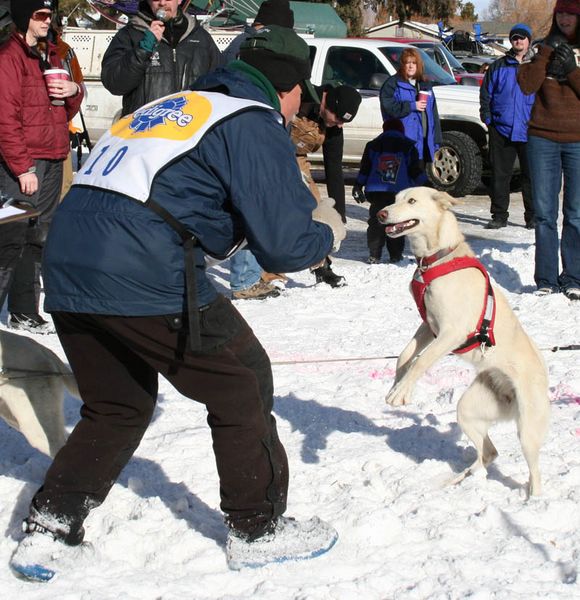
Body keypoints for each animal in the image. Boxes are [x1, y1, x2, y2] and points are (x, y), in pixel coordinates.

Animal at [378, 188, 552, 496]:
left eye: (411, 201)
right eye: (395, 198)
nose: (380, 214)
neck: (438, 257)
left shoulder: (451, 332)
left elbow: (421, 361)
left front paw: (401, 393)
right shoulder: (429, 326)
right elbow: (405, 355)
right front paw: (397, 384)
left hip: (528, 431)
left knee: (535, 473)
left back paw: (533, 499)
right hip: (469, 411)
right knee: (489, 452)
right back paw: (461, 478)